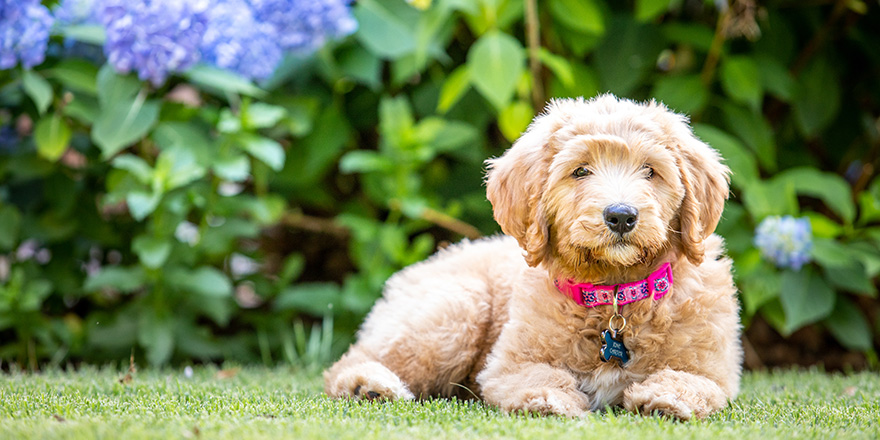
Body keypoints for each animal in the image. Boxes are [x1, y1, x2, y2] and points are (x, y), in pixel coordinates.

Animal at [324, 93, 744, 420]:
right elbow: (539, 376)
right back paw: (369, 385)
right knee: (348, 362)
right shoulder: (506, 367)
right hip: (455, 310)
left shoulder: (714, 369)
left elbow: (692, 381)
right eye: (580, 171)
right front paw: (549, 399)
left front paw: (666, 398)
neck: (613, 297)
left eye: (650, 171)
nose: (622, 216)